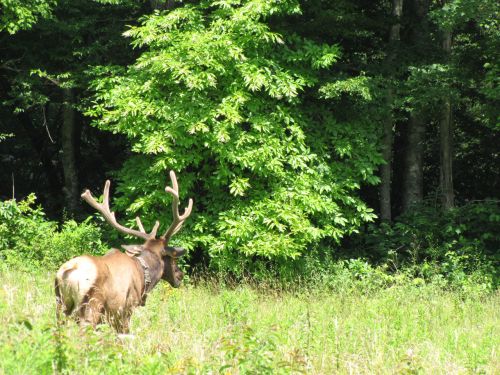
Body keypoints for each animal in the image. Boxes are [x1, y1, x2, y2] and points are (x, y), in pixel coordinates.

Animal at [54, 172, 191, 334]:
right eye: (172, 257)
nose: (180, 275)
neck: (143, 276)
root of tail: (68, 271)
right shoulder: (125, 310)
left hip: (60, 305)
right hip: (91, 305)